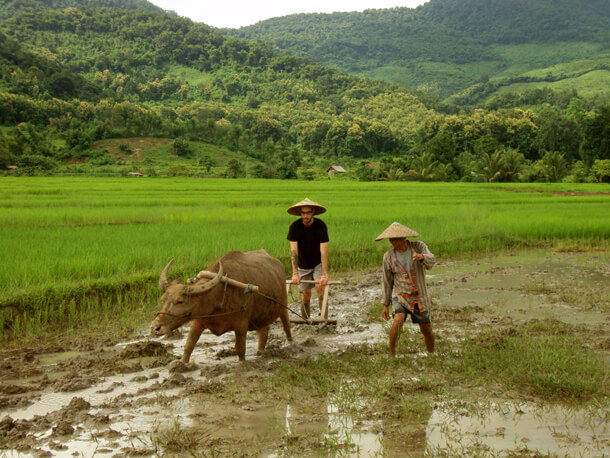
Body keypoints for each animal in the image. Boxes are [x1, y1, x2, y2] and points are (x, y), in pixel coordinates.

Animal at [148, 249, 288, 364]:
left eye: (180, 301)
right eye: (163, 299)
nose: (155, 328)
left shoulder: (241, 325)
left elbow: (240, 349)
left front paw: (242, 364)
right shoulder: (198, 322)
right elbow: (189, 345)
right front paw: (182, 364)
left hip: (283, 307)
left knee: (286, 327)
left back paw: (290, 343)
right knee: (263, 332)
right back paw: (260, 352)